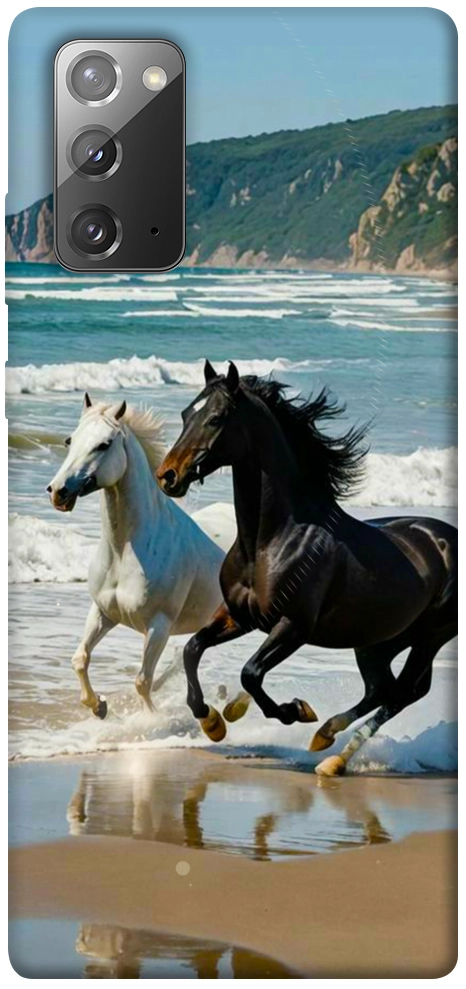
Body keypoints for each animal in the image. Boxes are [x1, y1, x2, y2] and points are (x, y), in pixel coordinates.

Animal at [47, 393, 224, 719]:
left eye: (104, 444)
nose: (58, 492)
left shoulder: (158, 626)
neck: (124, 552)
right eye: (70, 440)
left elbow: (142, 681)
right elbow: (80, 658)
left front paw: (151, 721)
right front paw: (98, 706)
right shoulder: (103, 612)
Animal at [156, 361, 457, 775]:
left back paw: (333, 756)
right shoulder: (239, 616)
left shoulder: (293, 626)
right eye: (187, 414)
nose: (167, 475)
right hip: (378, 640)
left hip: (430, 636)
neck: (270, 541)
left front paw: (294, 711)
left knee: (403, 692)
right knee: (383, 688)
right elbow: (192, 649)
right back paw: (326, 739)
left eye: (216, 418)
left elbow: (251, 673)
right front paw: (213, 721)